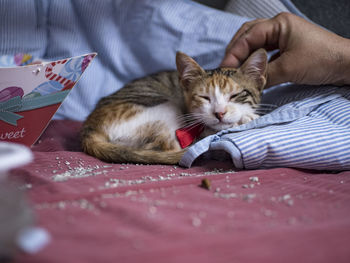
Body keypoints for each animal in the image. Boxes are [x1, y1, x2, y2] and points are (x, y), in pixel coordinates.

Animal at [81, 49, 268, 164]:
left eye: (235, 95)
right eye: (205, 97)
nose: (219, 113)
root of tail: (89, 128)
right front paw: (245, 118)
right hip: (165, 107)